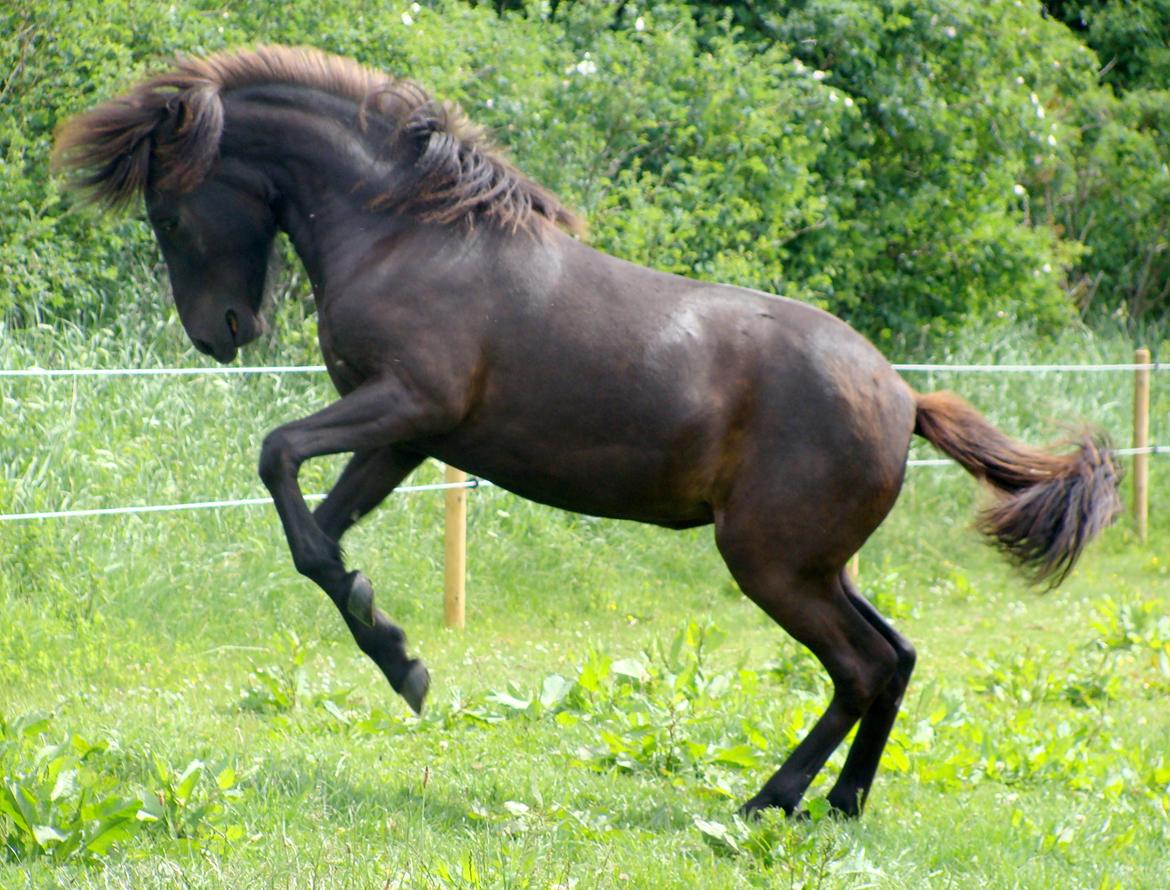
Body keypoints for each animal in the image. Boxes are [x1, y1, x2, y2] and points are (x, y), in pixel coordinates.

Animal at [57, 45, 1123, 813]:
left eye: (165, 212)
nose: (221, 333)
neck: (408, 234)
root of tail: (904, 399)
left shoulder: (408, 406)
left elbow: (277, 457)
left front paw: (401, 657)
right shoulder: (405, 438)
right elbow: (320, 539)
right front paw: (400, 657)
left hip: (771, 564)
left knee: (860, 669)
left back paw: (770, 802)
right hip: (822, 565)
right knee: (896, 656)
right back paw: (842, 804)